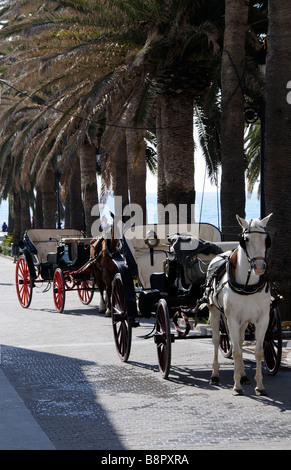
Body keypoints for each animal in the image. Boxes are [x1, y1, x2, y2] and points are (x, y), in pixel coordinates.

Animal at [206, 215, 272, 394]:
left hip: (243, 321)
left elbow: (258, 352)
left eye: (266, 239)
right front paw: (236, 386)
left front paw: (260, 386)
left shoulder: (263, 319)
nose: (259, 267)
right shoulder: (232, 319)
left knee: (241, 341)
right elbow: (235, 351)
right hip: (215, 313)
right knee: (216, 340)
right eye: (245, 240)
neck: (247, 285)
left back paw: (243, 375)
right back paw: (215, 375)